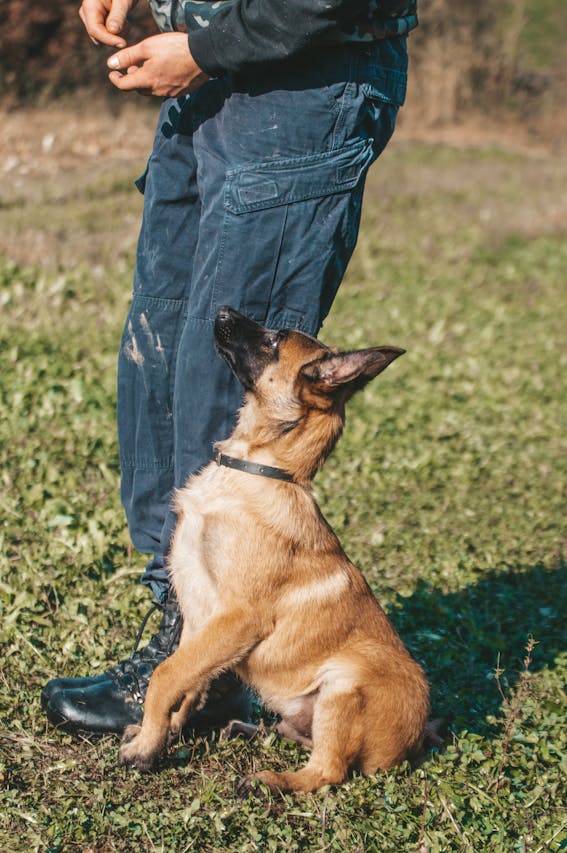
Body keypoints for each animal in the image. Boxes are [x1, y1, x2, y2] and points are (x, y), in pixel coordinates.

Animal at [120, 306, 430, 792]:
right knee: (301, 738)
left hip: (342, 685)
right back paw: (249, 729)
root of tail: (414, 745)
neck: (255, 469)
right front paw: (162, 734)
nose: (223, 309)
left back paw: (270, 780)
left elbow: (165, 676)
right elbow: (187, 682)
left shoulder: (236, 618)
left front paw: (146, 748)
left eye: (275, 341)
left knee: (328, 771)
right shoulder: (200, 617)